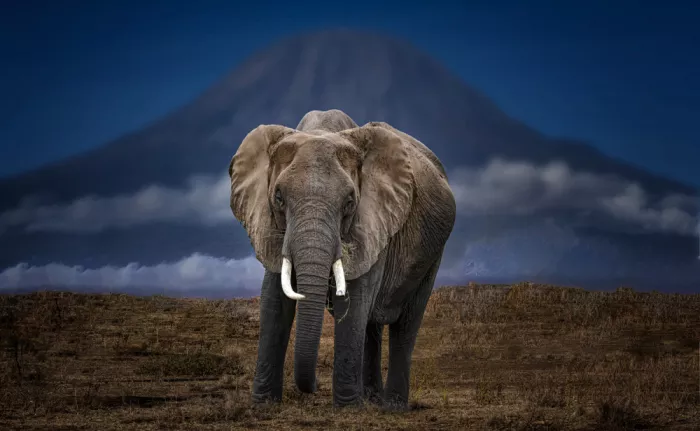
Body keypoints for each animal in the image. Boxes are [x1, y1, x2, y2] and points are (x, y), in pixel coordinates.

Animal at [228, 109, 456, 408]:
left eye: (349, 202)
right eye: (278, 197)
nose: (312, 386)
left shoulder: (374, 219)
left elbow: (354, 298)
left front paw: (347, 407)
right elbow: (274, 299)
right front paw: (263, 404)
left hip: (433, 254)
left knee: (406, 324)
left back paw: (392, 407)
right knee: (371, 325)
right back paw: (371, 398)